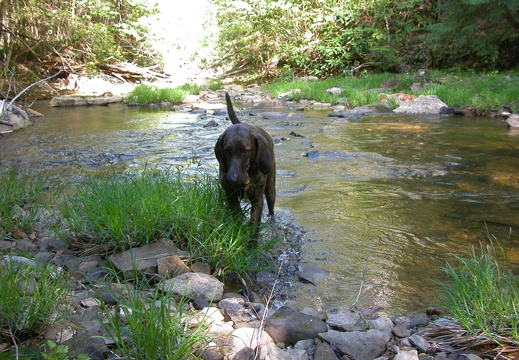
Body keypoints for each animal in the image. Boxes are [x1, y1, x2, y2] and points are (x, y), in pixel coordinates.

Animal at [214, 93, 276, 228]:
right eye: (227, 151)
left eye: (246, 151)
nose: (233, 179)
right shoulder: (230, 195)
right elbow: (237, 213)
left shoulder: (257, 199)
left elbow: (254, 223)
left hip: (271, 188)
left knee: (271, 207)